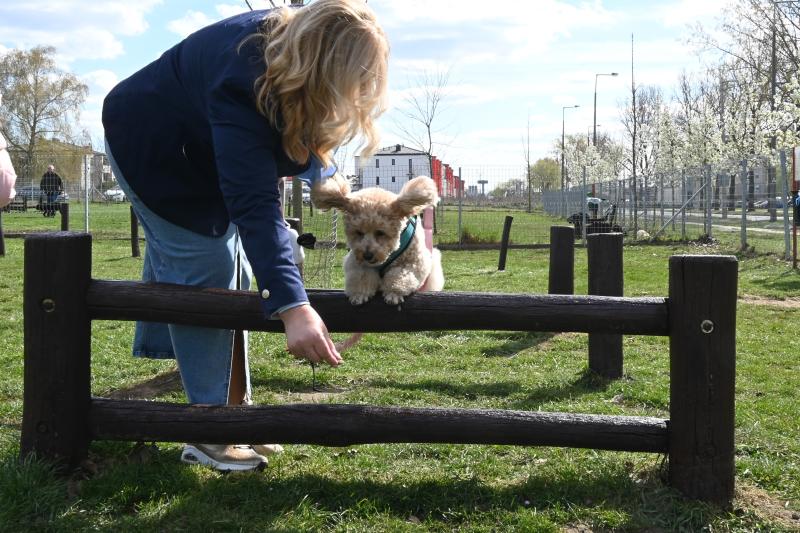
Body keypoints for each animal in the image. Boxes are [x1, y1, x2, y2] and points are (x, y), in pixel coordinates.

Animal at [310, 175, 444, 306]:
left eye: (380, 232)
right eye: (359, 232)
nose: (367, 255)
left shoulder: (413, 262)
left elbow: (400, 275)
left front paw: (393, 293)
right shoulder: (358, 262)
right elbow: (361, 277)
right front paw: (359, 295)